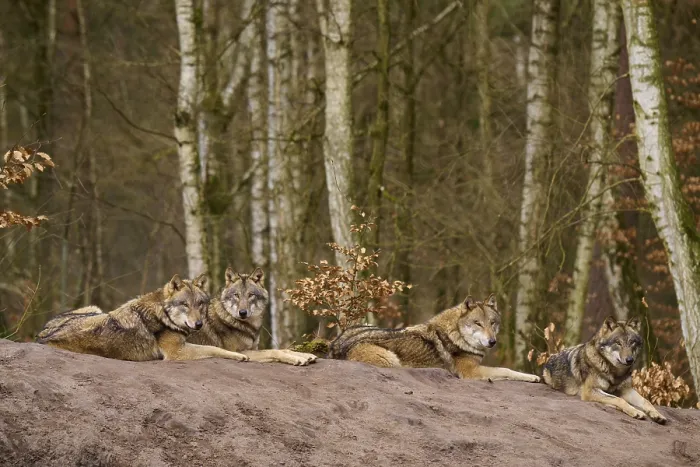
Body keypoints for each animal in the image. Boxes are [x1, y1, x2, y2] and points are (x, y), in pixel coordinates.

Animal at [36, 274, 249, 363]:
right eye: (185, 305)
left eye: (200, 304)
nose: (198, 324)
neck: (164, 313)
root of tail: (42, 336)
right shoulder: (177, 352)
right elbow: (214, 348)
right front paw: (240, 356)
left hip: (96, 309)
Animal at [187, 267, 317, 365]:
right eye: (236, 295)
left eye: (251, 295)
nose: (242, 312)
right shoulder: (241, 351)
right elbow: (274, 352)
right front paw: (297, 359)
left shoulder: (254, 348)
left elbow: (284, 349)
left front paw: (307, 355)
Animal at [329, 294, 540, 382]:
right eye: (478, 323)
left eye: (493, 323)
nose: (492, 341)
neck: (457, 335)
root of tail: (338, 345)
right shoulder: (471, 372)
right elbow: (505, 369)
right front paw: (533, 377)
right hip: (390, 360)